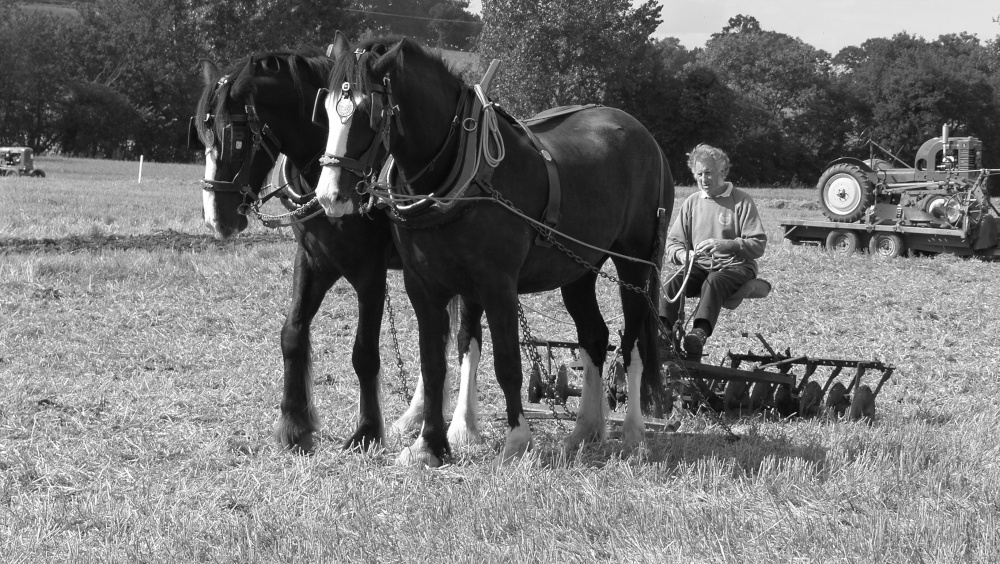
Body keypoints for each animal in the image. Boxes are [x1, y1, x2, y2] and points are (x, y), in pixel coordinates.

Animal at [191, 47, 488, 454]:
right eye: (201, 133)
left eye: (234, 135)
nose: (214, 218)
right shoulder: (314, 260)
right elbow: (292, 333)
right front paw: (295, 424)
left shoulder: (369, 272)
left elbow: (364, 352)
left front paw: (366, 431)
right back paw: (415, 416)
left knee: (466, 338)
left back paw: (463, 425)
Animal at [314, 35, 672, 468]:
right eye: (326, 110)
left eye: (368, 111)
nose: (329, 195)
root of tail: (646, 138)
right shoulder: (425, 286)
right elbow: (435, 364)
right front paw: (429, 445)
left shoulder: (498, 286)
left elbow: (507, 364)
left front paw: (517, 440)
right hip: (580, 269)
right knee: (595, 337)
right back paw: (584, 431)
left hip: (634, 265)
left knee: (634, 344)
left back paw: (633, 433)